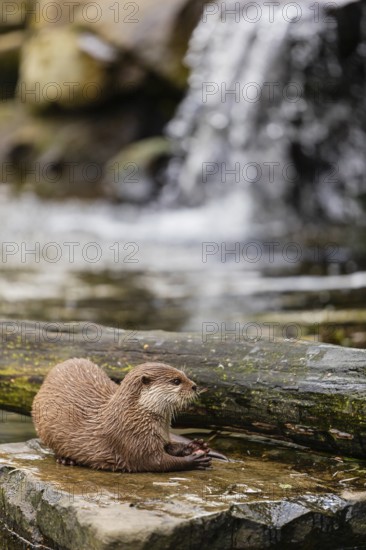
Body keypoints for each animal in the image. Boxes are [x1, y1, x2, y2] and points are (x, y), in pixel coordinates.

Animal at [33, 358, 214, 474]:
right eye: (176, 381)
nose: (194, 386)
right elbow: (156, 462)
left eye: (184, 375)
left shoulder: (160, 436)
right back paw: (65, 459)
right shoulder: (131, 440)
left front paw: (196, 446)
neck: (133, 417)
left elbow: (170, 447)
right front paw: (193, 460)